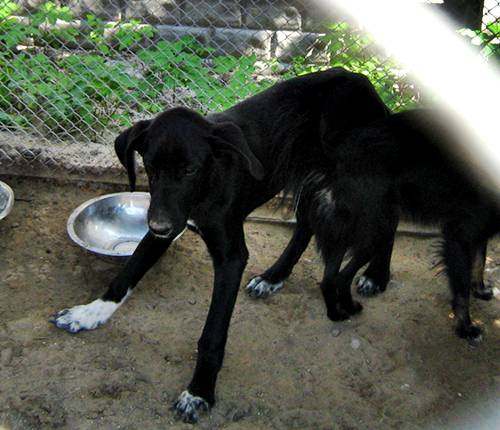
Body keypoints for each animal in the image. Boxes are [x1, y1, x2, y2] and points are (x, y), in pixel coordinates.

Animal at [49, 68, 391, 422]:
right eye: (151, 168)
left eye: (189, 170)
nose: (158, 226)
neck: (206, 187)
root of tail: (360, 79)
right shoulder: (165, 221)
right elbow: (127, 273)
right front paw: (89, 313)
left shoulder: (230, 256)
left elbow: (213, 333)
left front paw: (199, 391)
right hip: (307, 174)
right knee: (305, 227)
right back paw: (273, 277)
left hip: (358, 180)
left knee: (386, 219)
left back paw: (376, 276)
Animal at [249, 109, 497, 343]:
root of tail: (336, 157)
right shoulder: (460, 234)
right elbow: (461, 287)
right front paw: (466, 327)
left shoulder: (480, 229)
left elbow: (479, 260)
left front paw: (480, 289)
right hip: (375, 229)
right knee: (339, 273)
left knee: (330, 277)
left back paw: (343, 306)